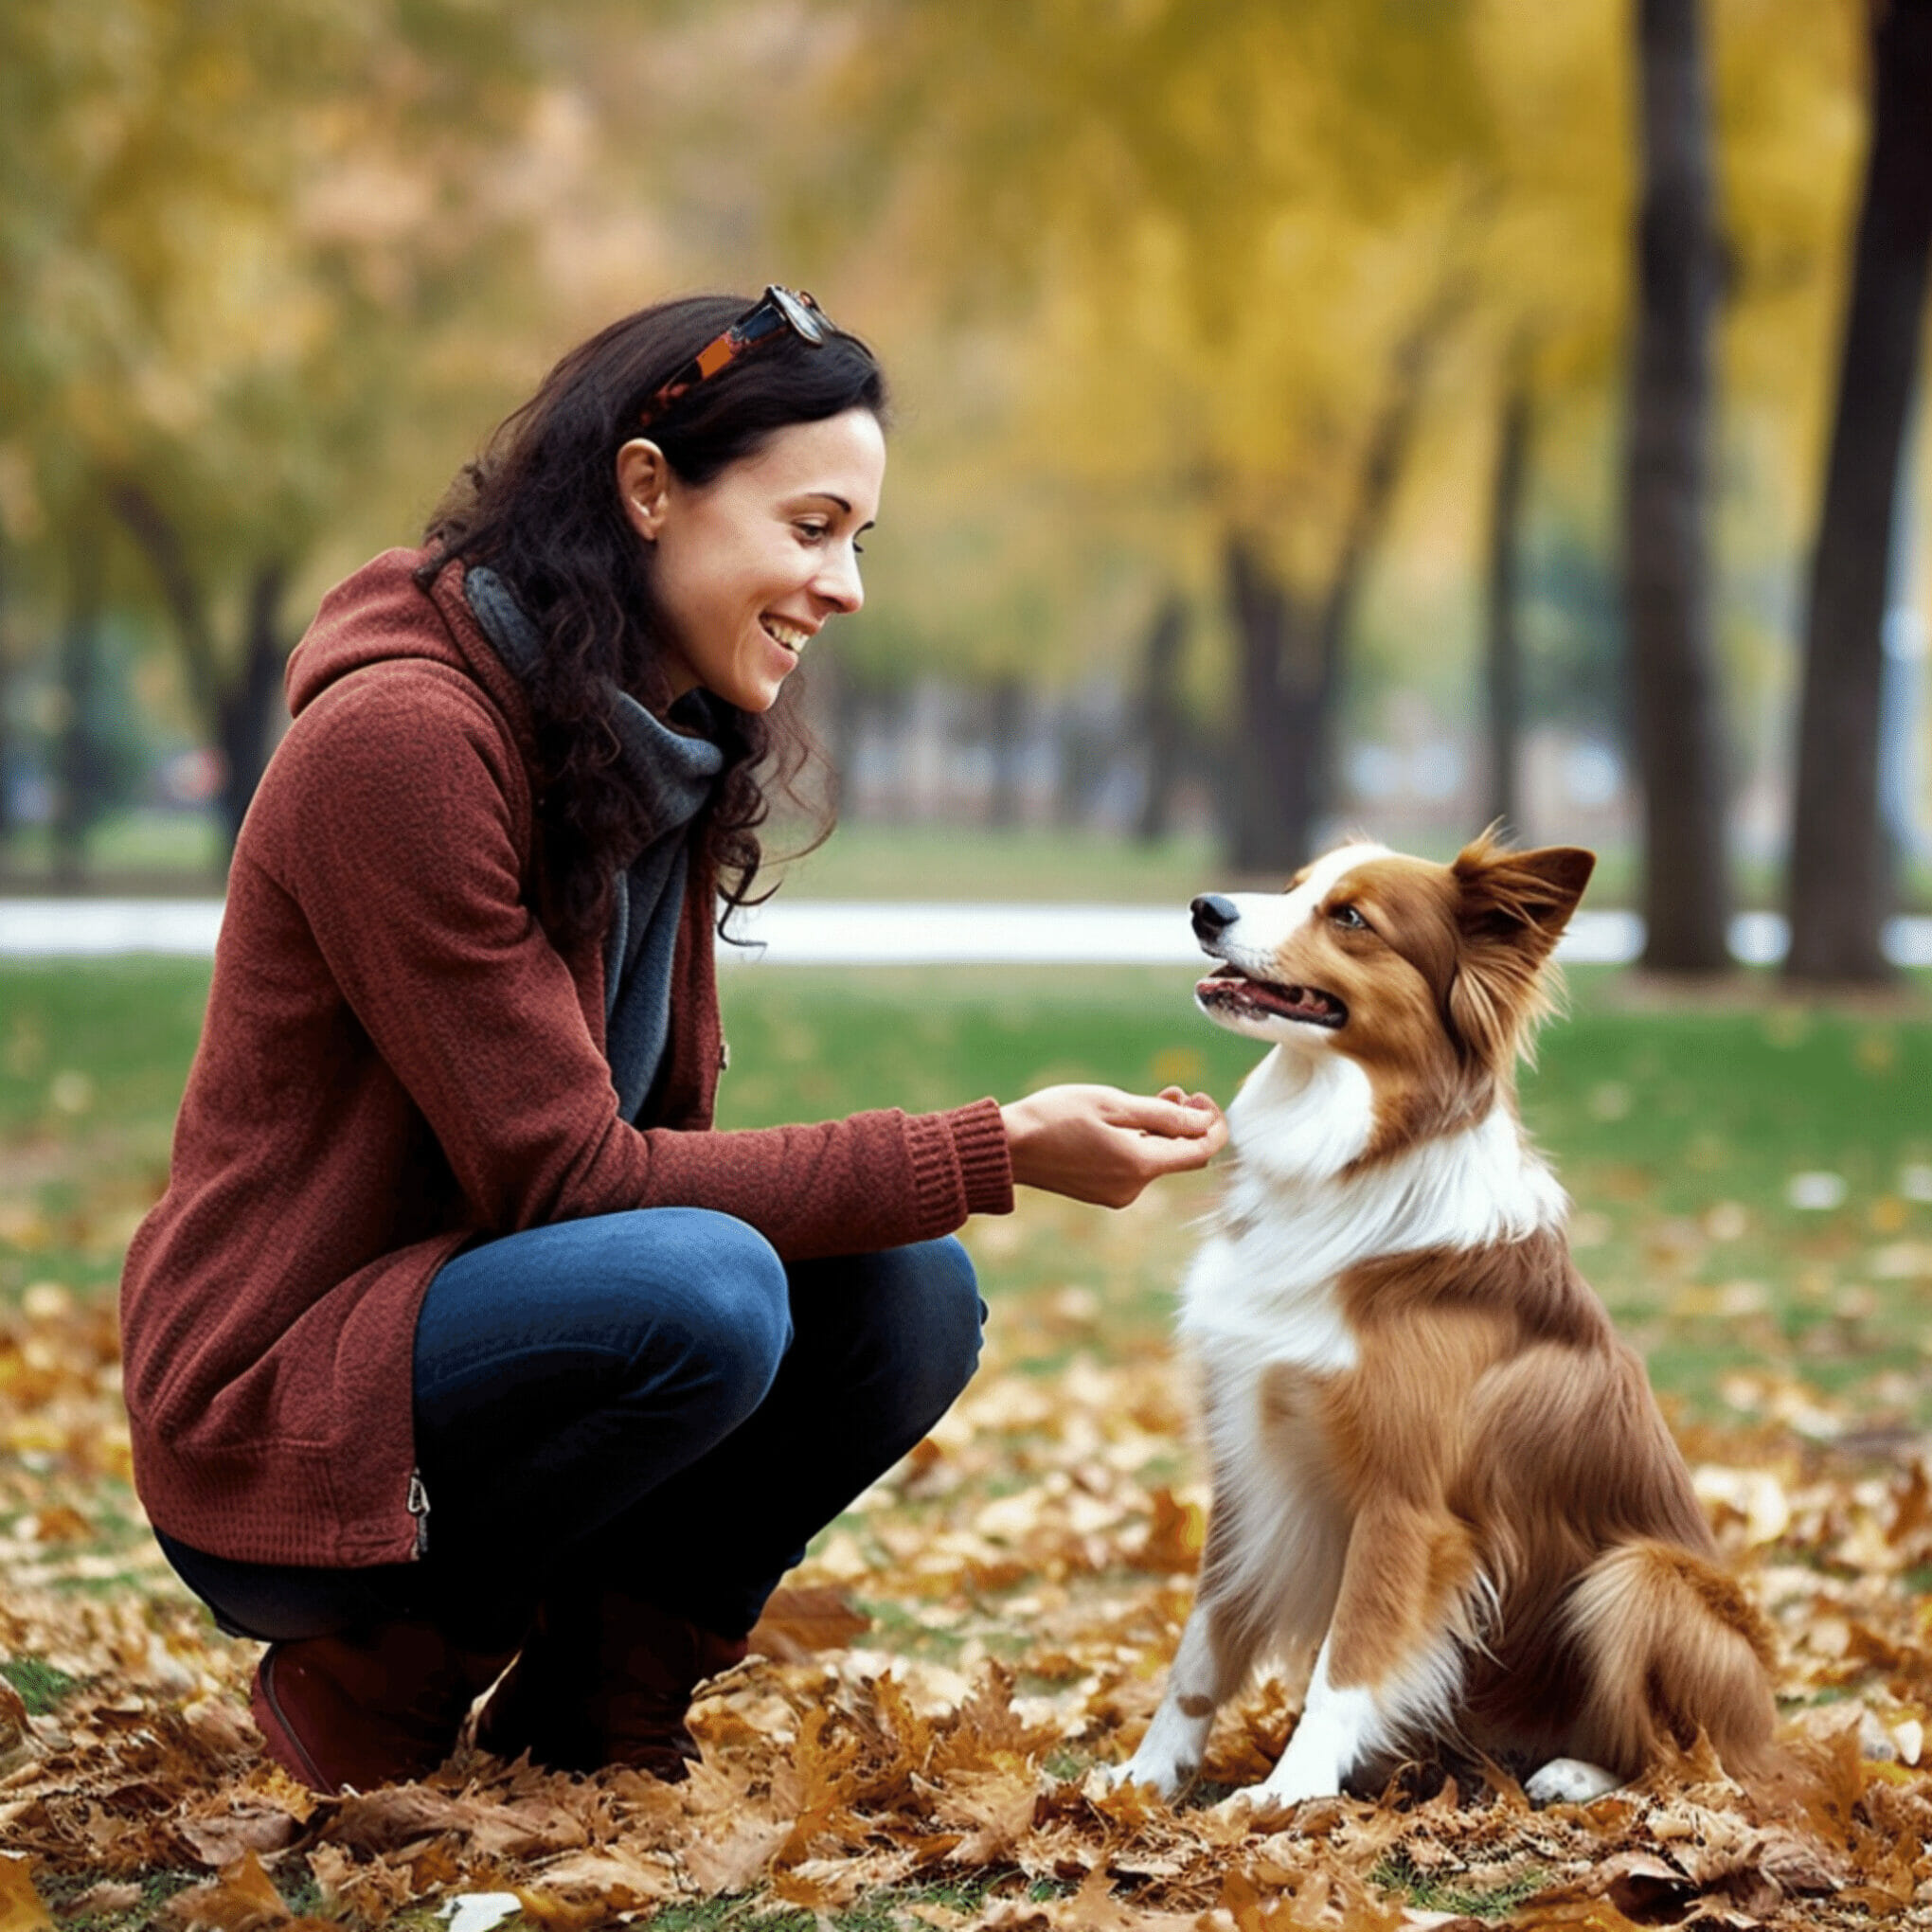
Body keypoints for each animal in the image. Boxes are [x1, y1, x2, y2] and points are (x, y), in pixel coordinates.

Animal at [1113, 831, 1769, 1808]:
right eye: (1295, 887)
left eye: (1350, 916)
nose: (1206, 909)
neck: (1359, 1161)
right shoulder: (1249, 1455)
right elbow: (1203, 1643)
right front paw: (1147, 1774)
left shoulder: (1409, 1505)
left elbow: (1349, 1660)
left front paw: (1288, 1793)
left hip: (1636, 1577)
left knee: (1691, 1765)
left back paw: (1582, 1774)